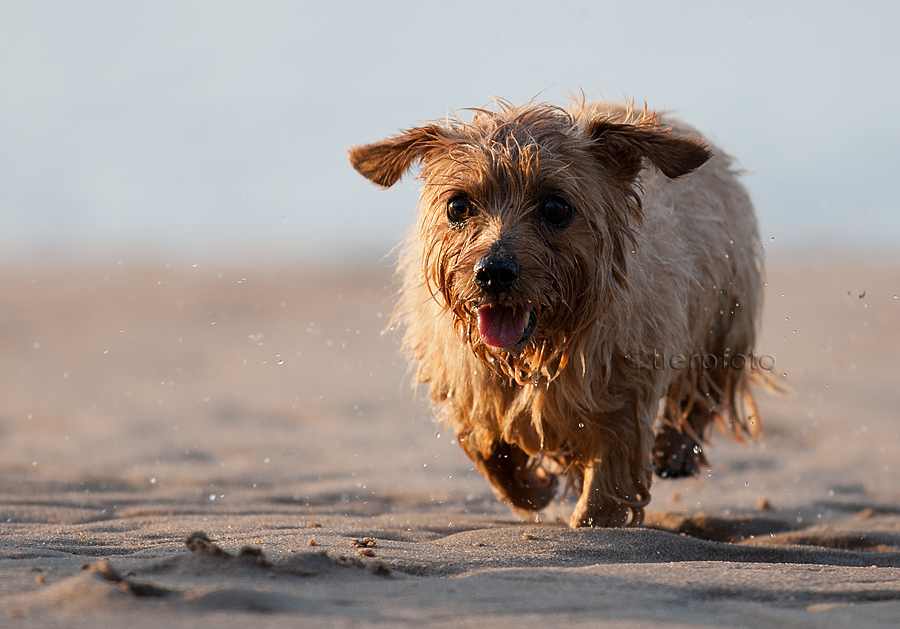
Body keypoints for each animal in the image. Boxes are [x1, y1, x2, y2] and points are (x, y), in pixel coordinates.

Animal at [348, 98, 764, 528]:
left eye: (555, 207)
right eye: (458, 205)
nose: (492, 272)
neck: (541, 347)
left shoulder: (623, 403)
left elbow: (606, 486)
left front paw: (590, 520)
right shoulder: (468, 388)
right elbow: (492, 453)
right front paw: (535, 487)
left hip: (725, 320)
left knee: (703, 390)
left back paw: (676, 451)